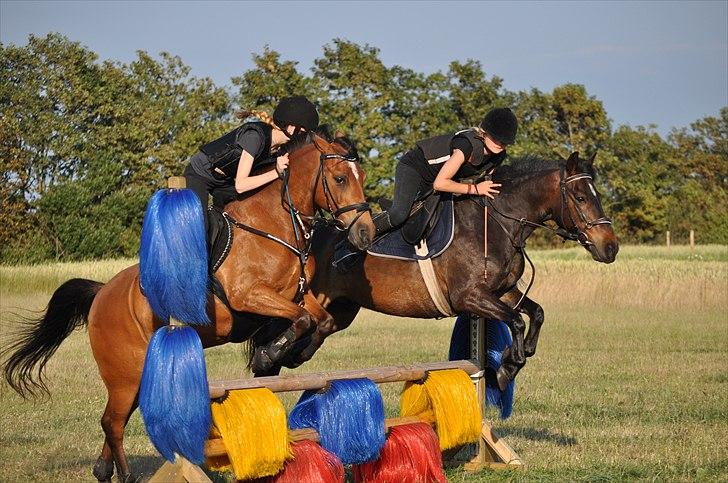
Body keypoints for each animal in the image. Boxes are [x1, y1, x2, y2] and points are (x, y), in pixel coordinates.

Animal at [1, 130, 376, 482]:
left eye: (362, 176)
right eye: (340, 179)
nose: (366, 235)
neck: (274, 225)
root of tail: (103, 292)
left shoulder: (297, 294)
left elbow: (320, 320)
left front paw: (288, 355)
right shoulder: (248, 295)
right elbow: (301, 319)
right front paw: (268, 355)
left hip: (138, 375)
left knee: (113, 420)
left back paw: (103, 470)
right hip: (125, 373)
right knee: (113, 422)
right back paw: (124, 474)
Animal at [288, 154, 616, 386]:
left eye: (597, 195)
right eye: (581, 197)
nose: (610, 247)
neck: (496, 223)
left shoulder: (503, 291)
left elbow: (536, 313)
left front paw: (514, 359)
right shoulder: (469, 296)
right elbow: (516, 322)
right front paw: (508, 367)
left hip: (343, 309)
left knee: (320, 328)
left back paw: (289, 357)